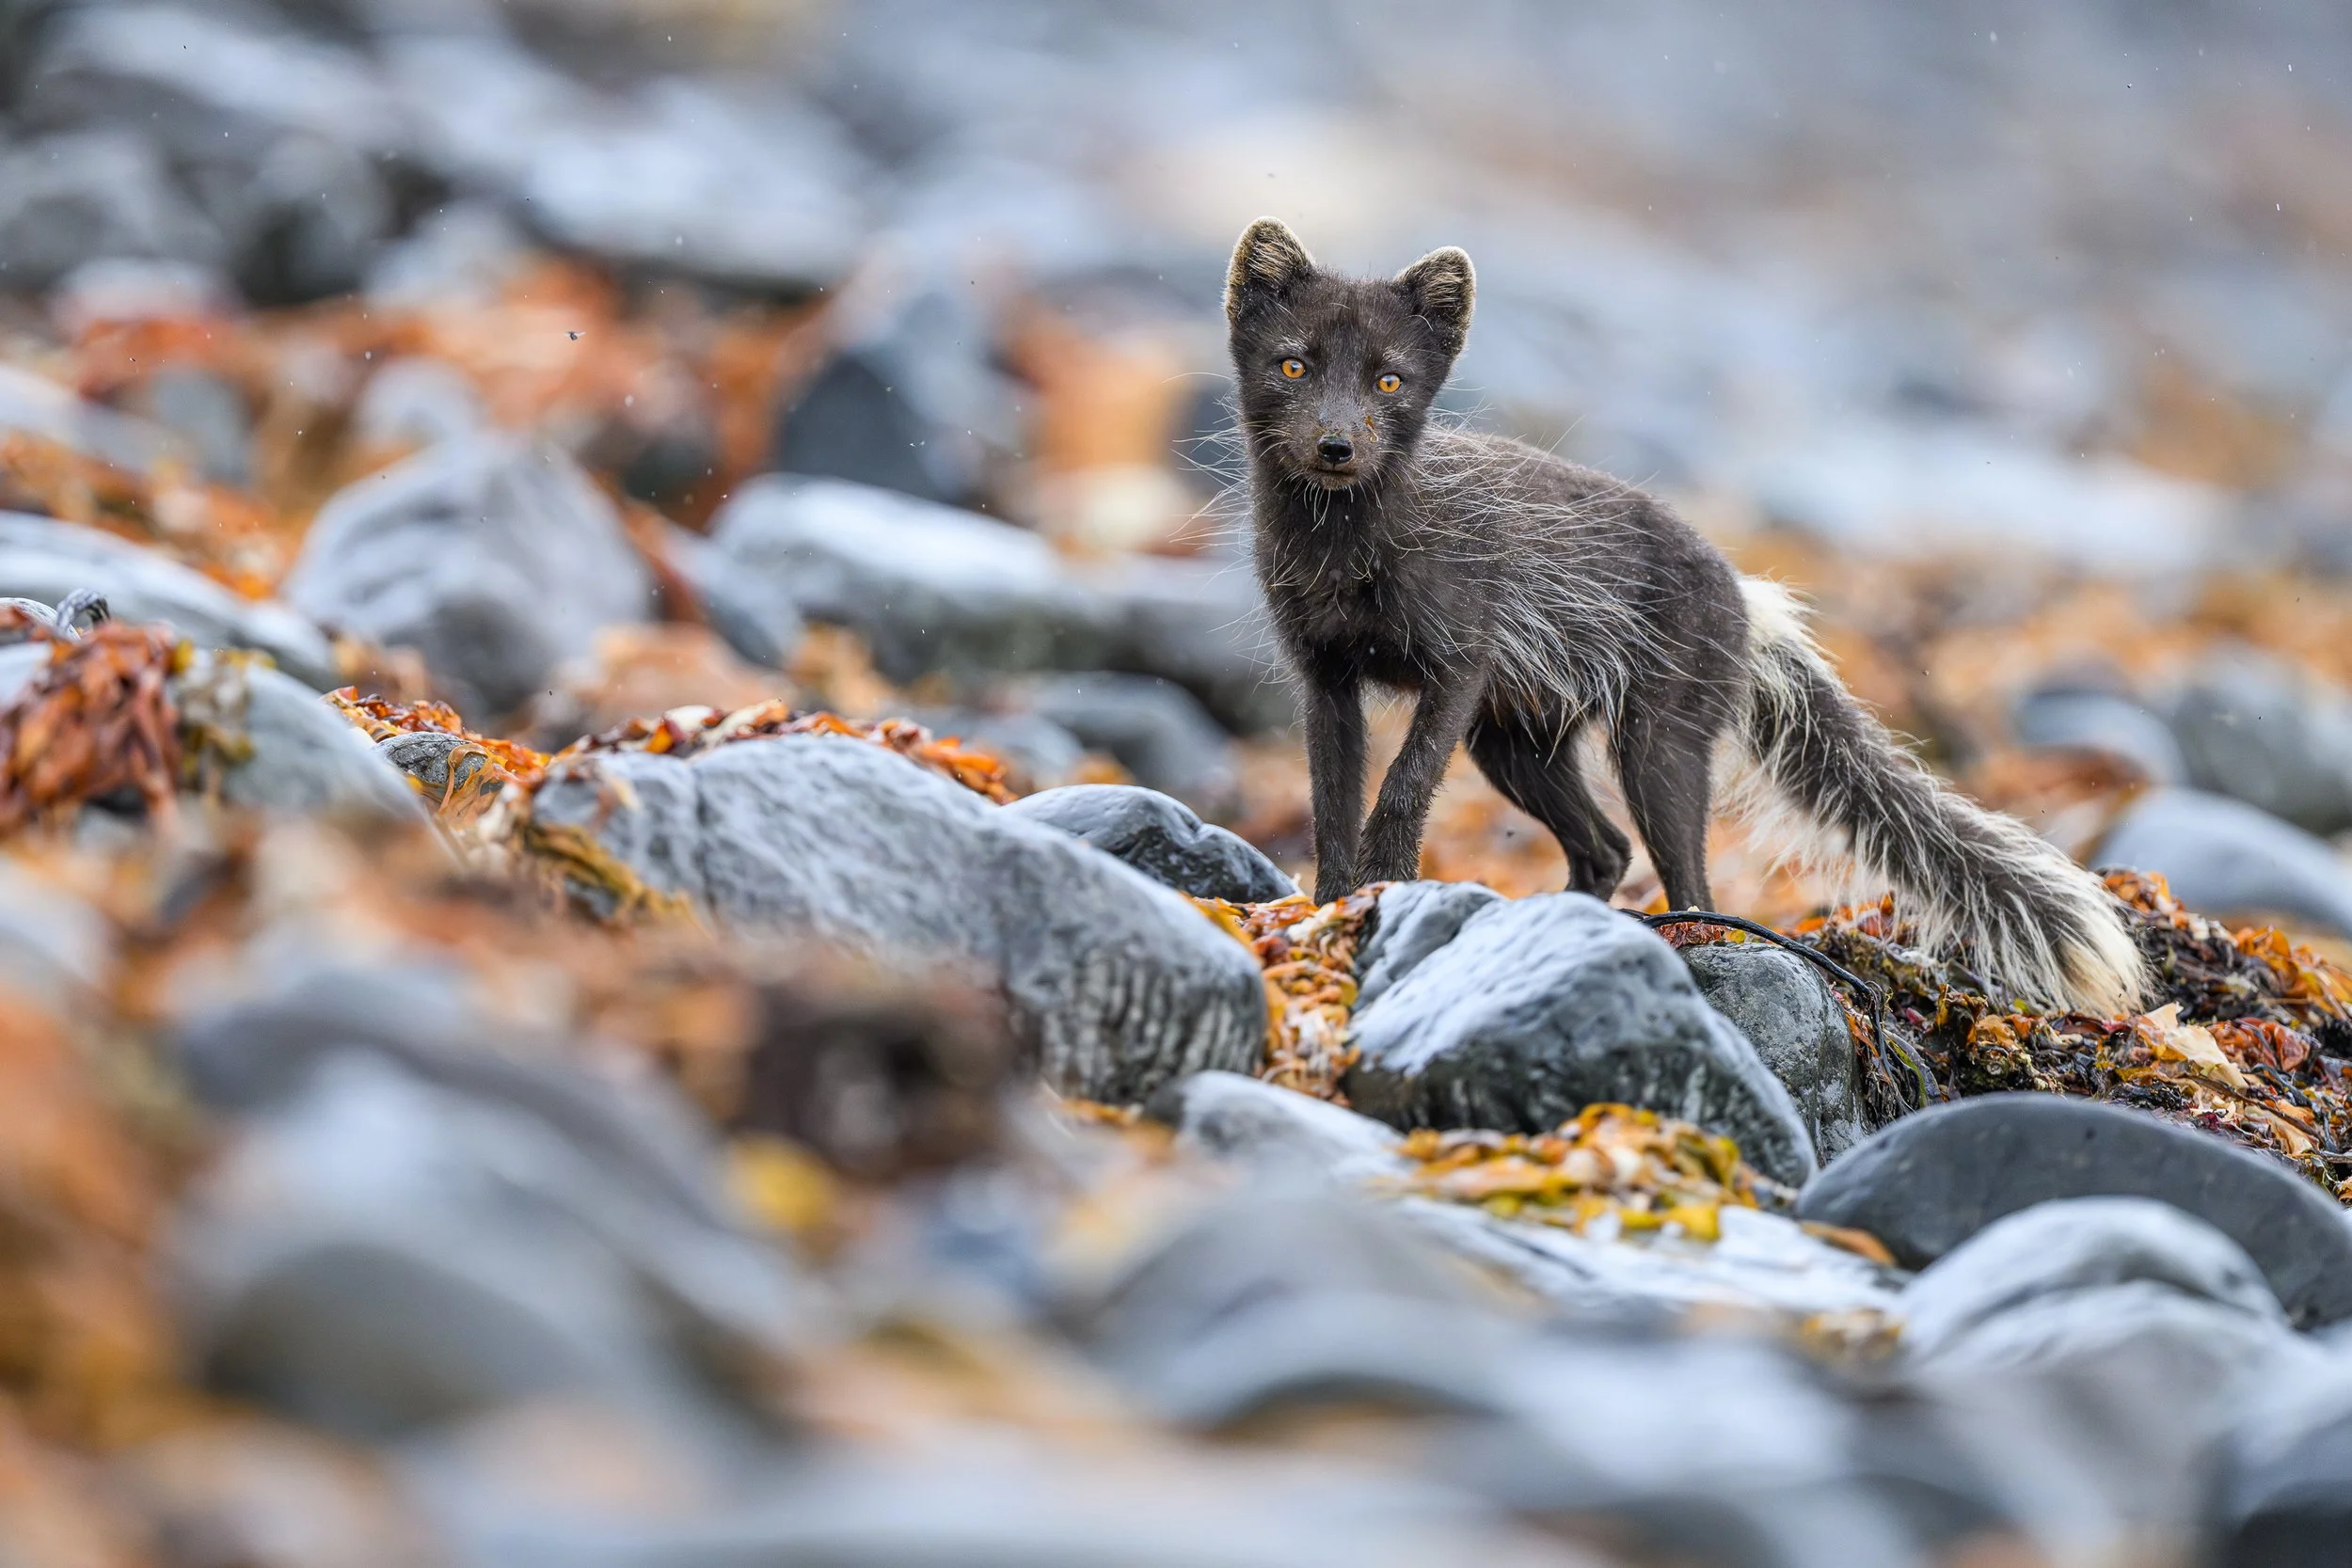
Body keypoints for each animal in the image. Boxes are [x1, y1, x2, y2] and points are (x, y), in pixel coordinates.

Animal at [1225, 217, 2146, 1015]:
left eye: (1390, 380)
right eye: (1294, 366)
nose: (1337, 446)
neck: (1348, 551)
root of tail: (1746, 593)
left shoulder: (1461, 659)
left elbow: (1404, 784)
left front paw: (1387, 884)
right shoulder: (1325, 674)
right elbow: (1330, 796)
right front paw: (1332, 903)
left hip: (1656, 738)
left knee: (1684, 876)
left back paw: (1685, 943)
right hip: (1516, 740)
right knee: (1607, 847)